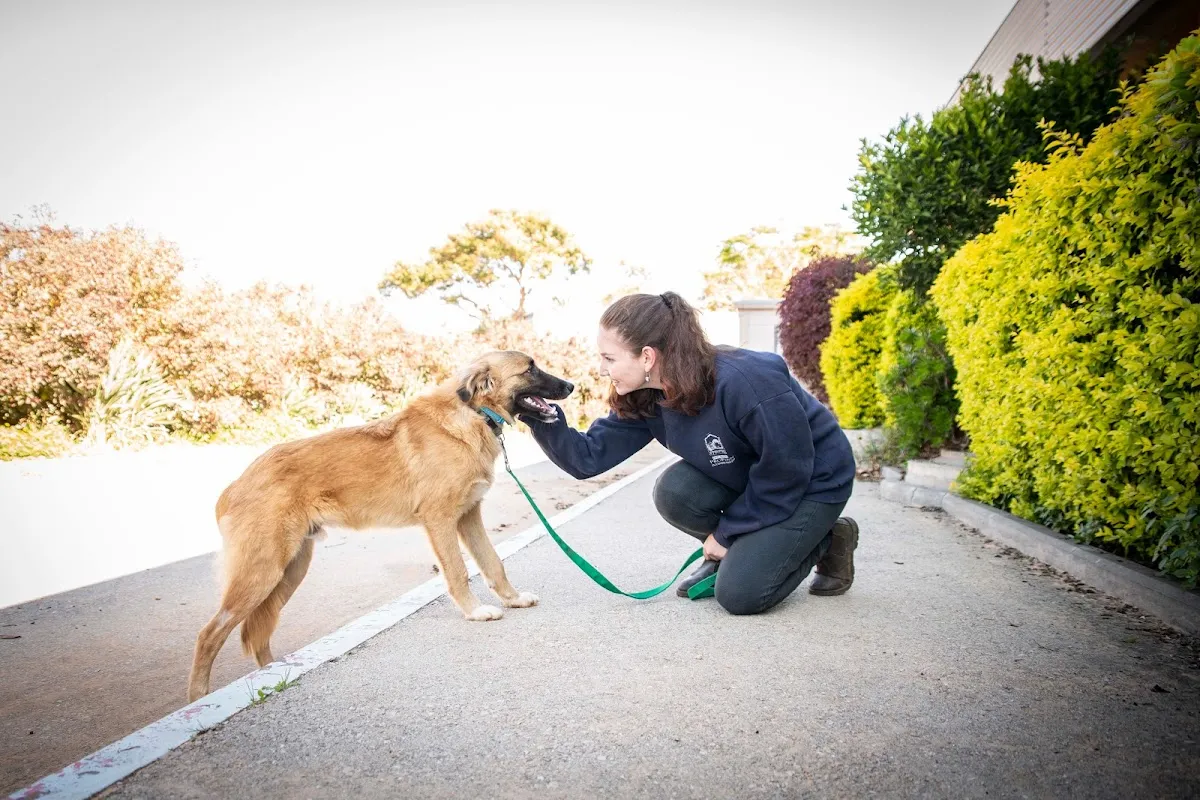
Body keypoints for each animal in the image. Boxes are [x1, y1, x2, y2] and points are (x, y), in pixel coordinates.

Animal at [186, 350, 574, 702]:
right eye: (530, 368)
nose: (571, 386)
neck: (471, 414)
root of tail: (235, 484)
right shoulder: (441, 520)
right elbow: (459, 571)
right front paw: (475, 611)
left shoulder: (469, 516)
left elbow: (493, 563)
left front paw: (512, 599)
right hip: (263, 571)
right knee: (209, 634)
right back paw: (198, 698)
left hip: (289, 571)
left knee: (258, 633)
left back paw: (269, 676)